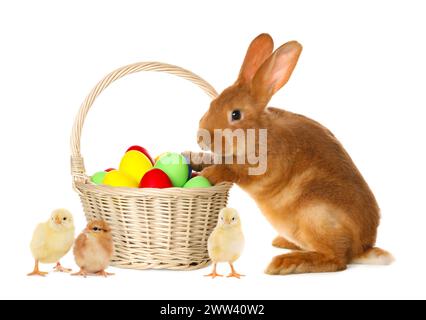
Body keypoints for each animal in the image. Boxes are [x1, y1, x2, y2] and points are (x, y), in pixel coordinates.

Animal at [188, 34, 394, 276]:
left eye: (236, 114)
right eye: (212, 103)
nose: (200, 138)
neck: (260, 133)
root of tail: (362, 248)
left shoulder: (259, 169)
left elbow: (230, 170)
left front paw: (207, 175)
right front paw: (192, 157)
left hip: (316, 215)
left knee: (336, 259)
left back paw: (285, 263)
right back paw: (283, 243)